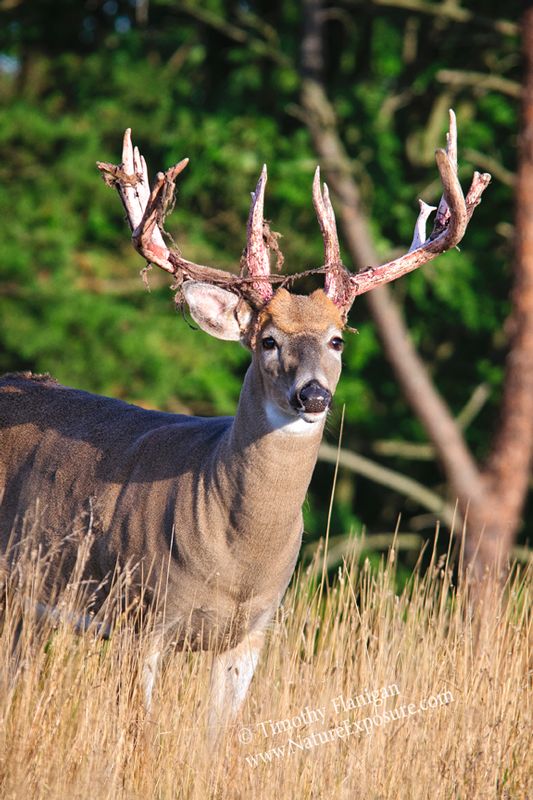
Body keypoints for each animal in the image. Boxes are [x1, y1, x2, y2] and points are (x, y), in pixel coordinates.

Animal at [0, 110, 489, 739]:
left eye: (337, 339)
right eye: (268, 341)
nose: (313, 394)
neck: (237, 557)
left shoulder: (253, 631)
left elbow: (219, 739)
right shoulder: (140, 615)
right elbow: (138, 731)